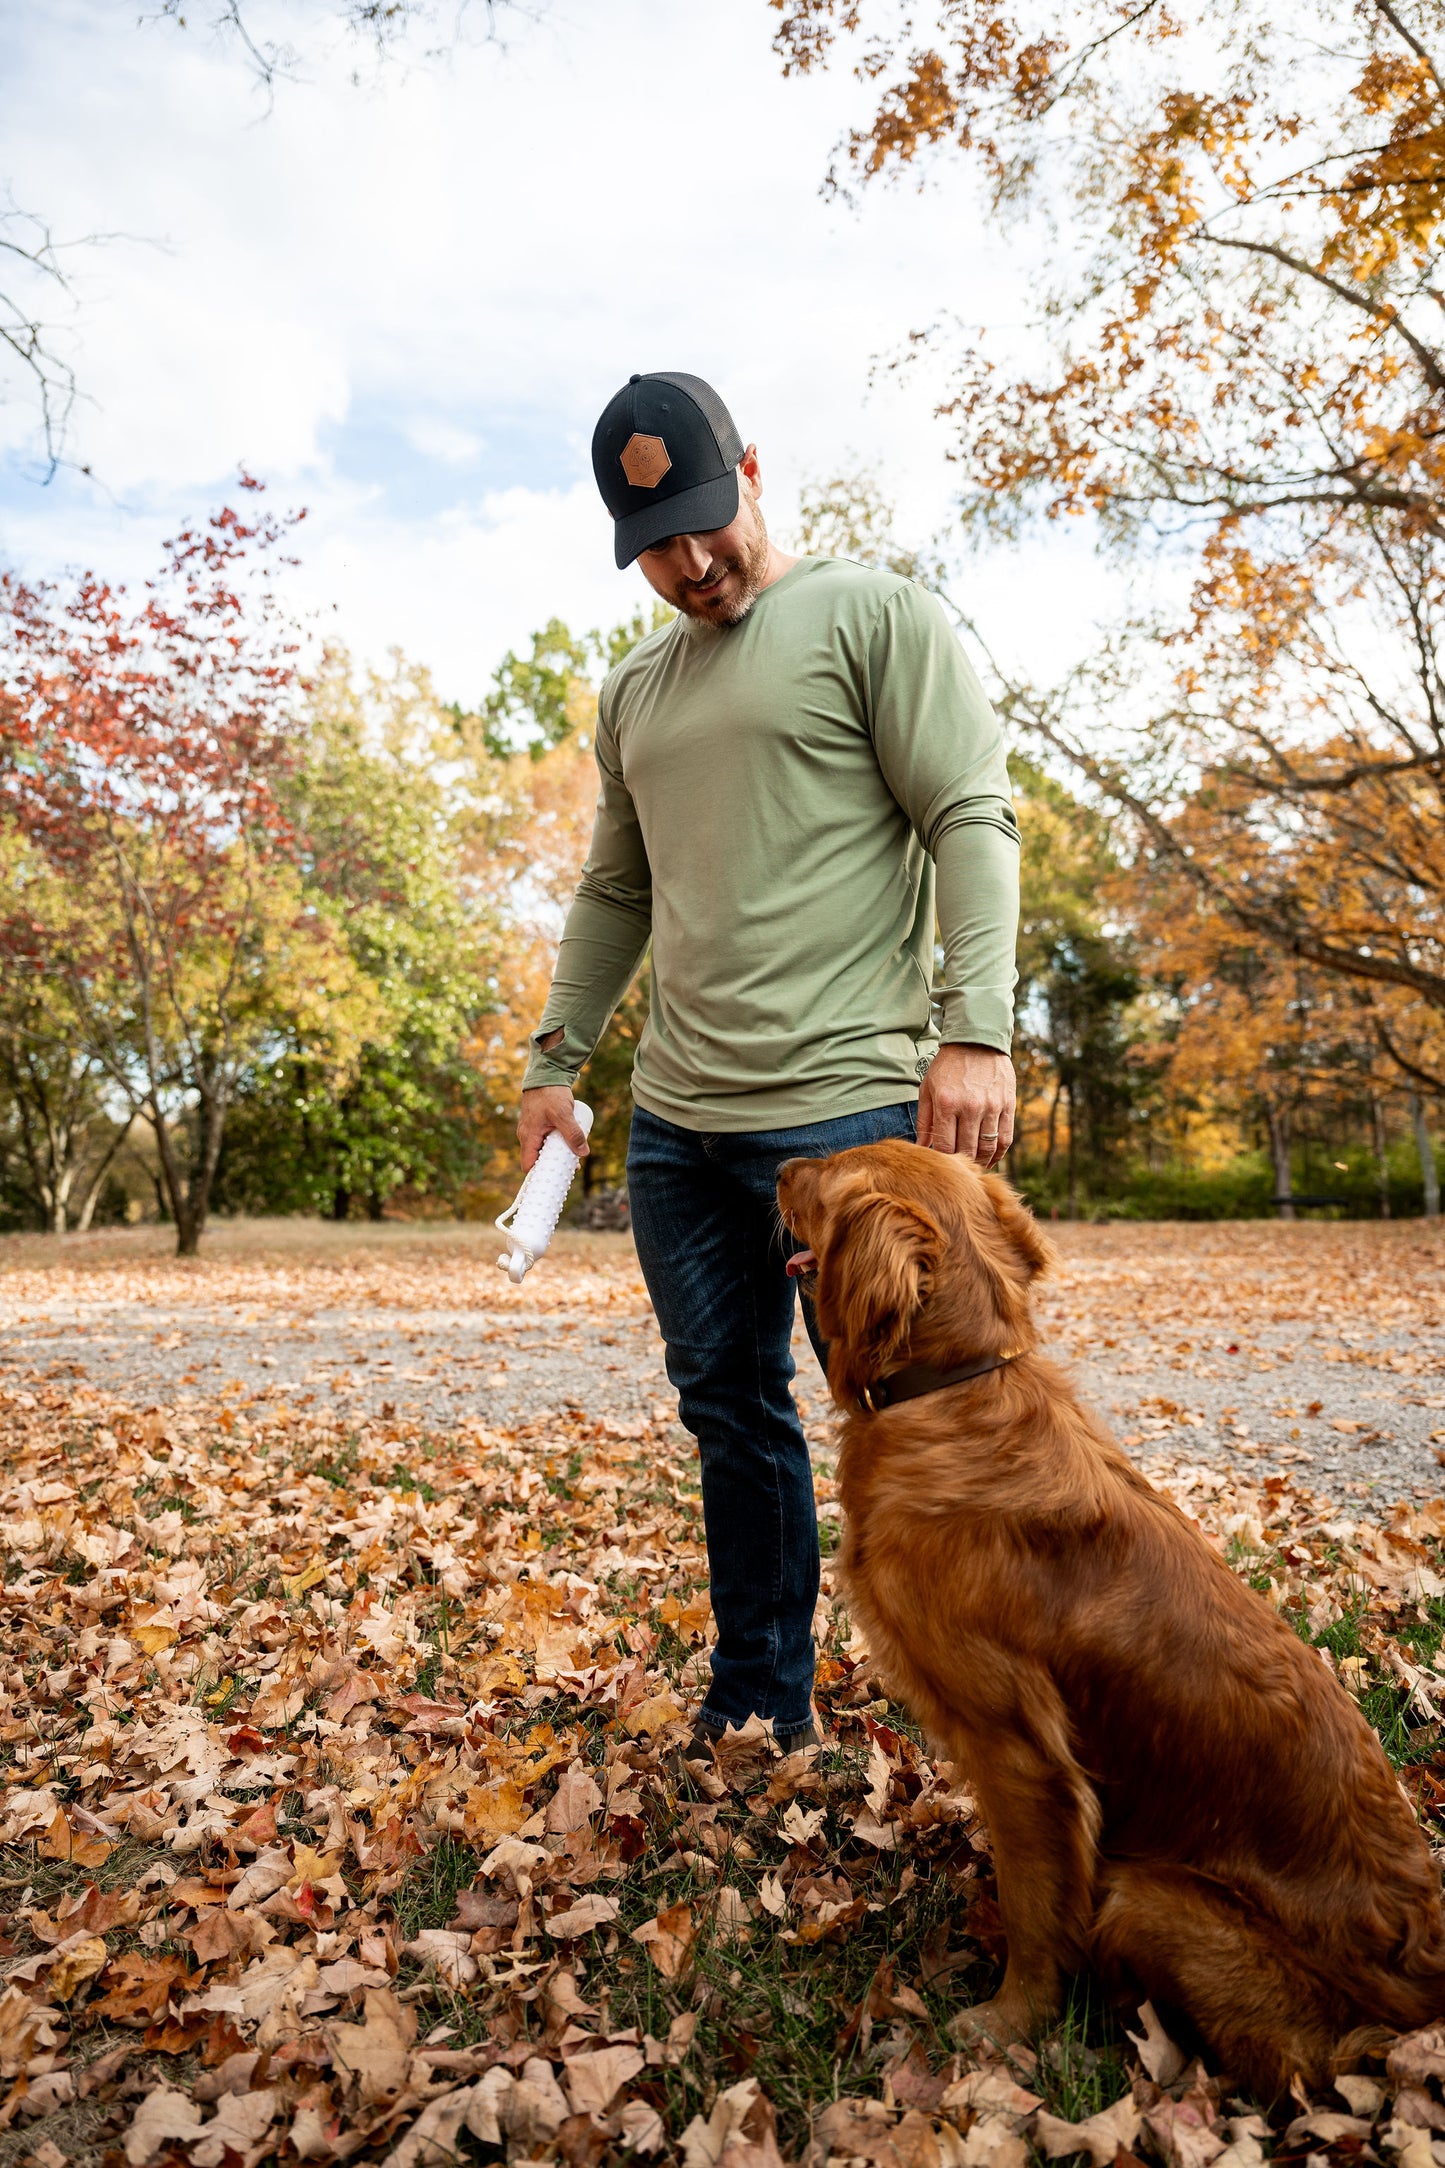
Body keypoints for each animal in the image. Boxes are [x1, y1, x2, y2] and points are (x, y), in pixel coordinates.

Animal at [779, 1144, 1445, 2089]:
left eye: (827, 1169)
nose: (776, 1164)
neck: (955, 1387)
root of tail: (1422, 1977)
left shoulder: (1022, 1754)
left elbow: (1036, 1908)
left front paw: (1007, 2024)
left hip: (1144, 1897)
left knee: (1292, 2063)